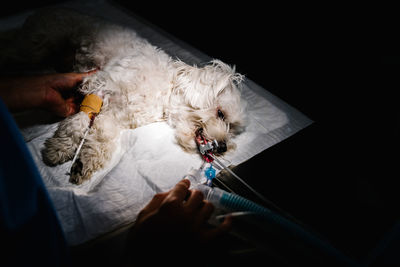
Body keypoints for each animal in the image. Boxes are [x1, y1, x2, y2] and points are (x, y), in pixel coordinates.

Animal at [10, 8, 247, 184]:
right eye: (221, 113)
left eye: (233, 129)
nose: (223, 147)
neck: (164, 89)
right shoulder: (97, 84)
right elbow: (78, 122)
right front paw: (60, 147)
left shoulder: (117, 115)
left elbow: (102, 134)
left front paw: (84, 162)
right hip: (35, 47)